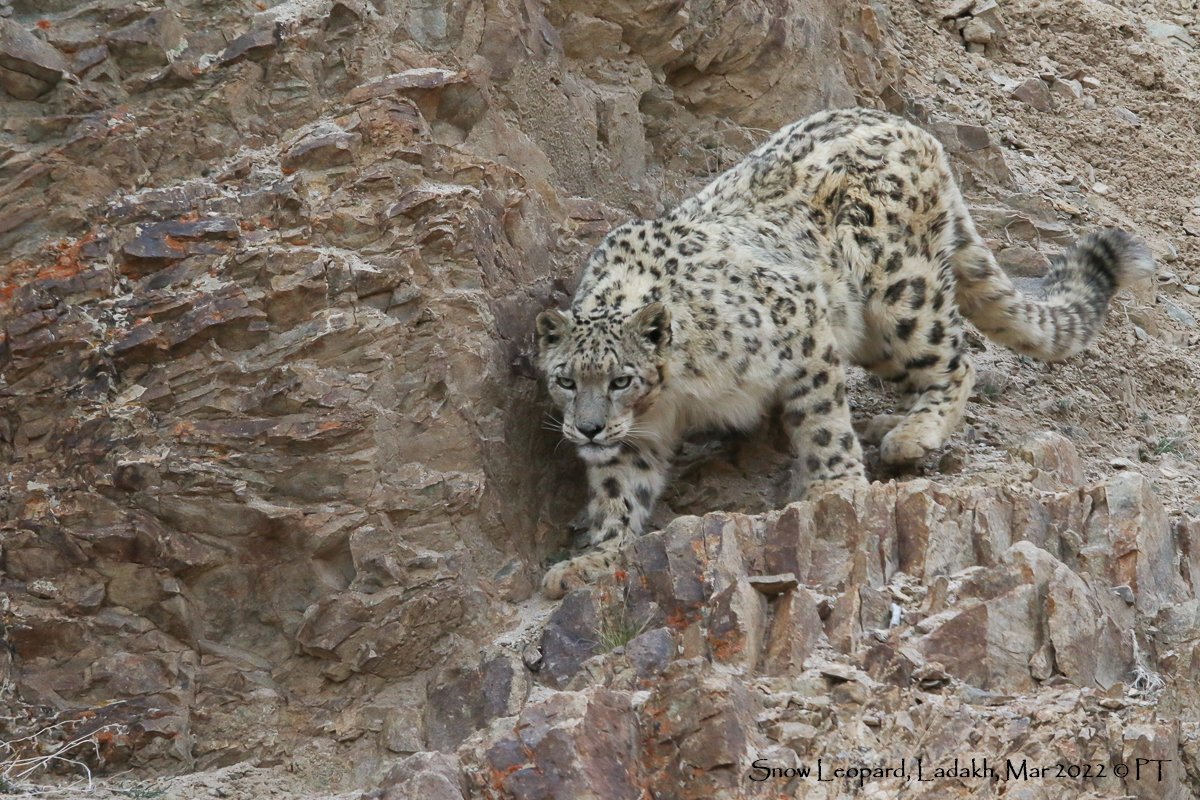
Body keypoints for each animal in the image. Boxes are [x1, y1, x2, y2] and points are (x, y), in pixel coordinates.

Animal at [535, 106, 1152, 597]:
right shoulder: (634, 440)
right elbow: (620, 490)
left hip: (899, 295)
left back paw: (911, 434)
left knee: (956, 360)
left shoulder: (801, 327)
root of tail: (902, 123)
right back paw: (888, 423)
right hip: (875, 335)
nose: (588, 429)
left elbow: (822, 422)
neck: (671, 399)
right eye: (566, 379)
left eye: (621, 379)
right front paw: (594, 558)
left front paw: (835, 489)